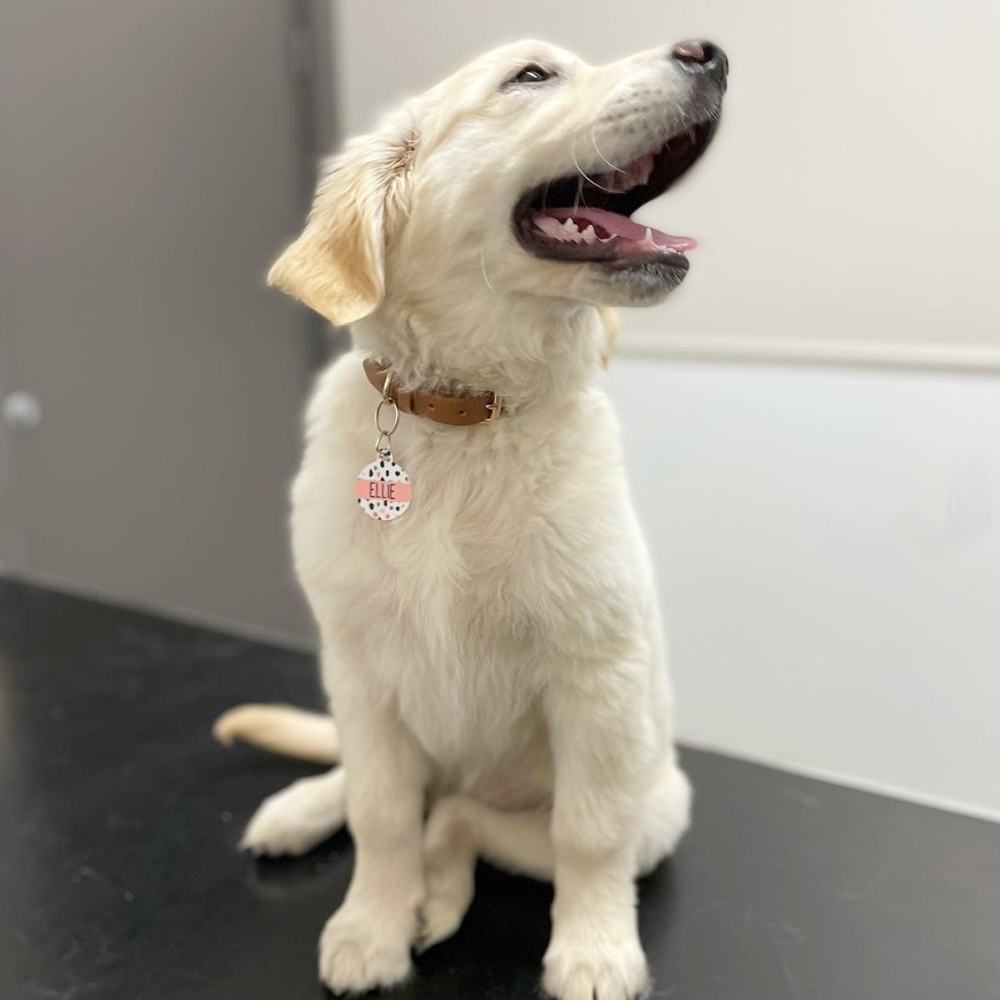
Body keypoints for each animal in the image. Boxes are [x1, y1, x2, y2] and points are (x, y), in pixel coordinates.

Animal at [215, 35, 728, 1000]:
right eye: (531, 76)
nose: (709, 53)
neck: (463, 416)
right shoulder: (361, 672)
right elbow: (380, 816)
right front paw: (370, 927)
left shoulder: (597, 679)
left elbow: (586, 836)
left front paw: (594, 951)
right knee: (392, 793)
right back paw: (304, 812)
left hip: (657, 805)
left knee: (461, 814)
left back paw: (439, 894)